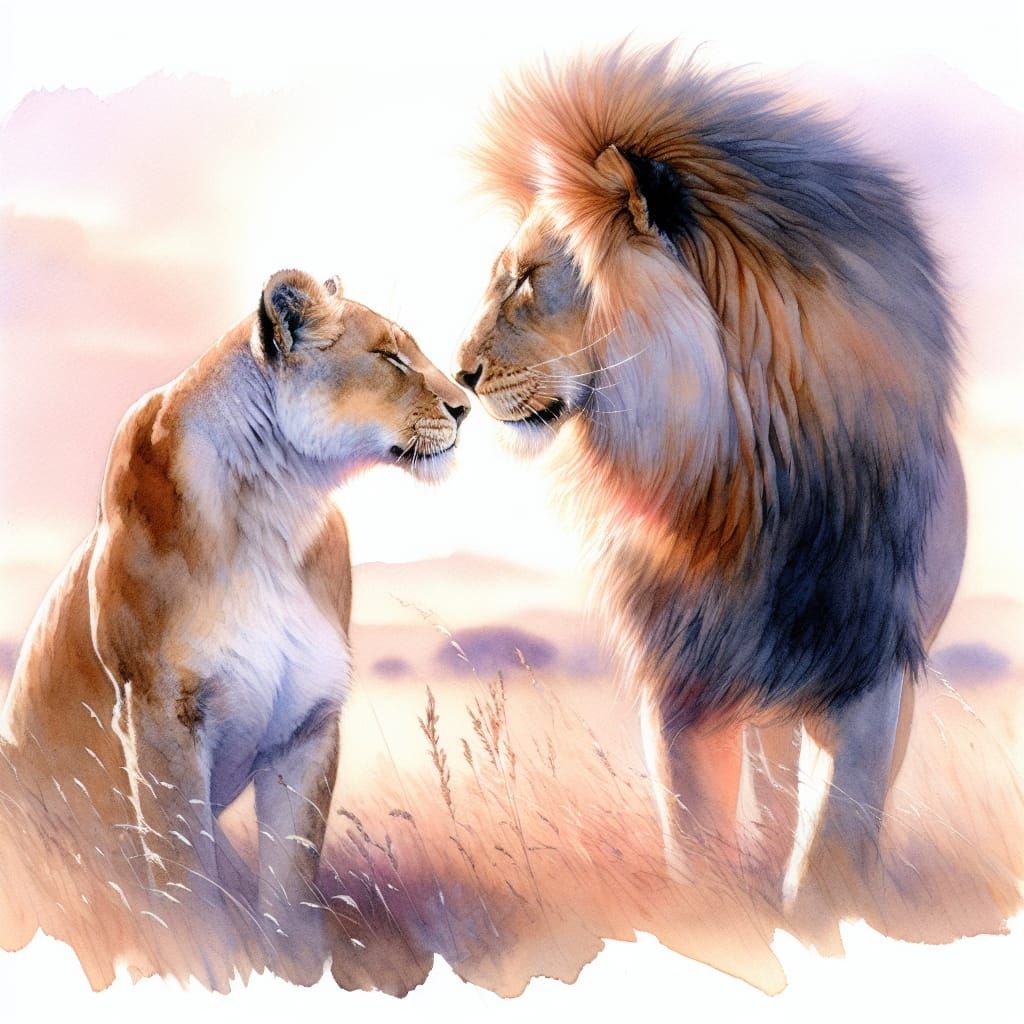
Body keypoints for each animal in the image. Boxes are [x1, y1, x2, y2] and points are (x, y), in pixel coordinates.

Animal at [1, 269, 468, 982]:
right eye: (390, 357)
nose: (466, 406)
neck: (278, 502)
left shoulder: (307, 723)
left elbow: (291, 879)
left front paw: (298, 969)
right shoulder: (158, 709)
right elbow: (182, 871)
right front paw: (200, 964)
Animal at [454, 45, 967, 918]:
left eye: (525, 280)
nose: (459, 373)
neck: (741, 479)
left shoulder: (867, 670)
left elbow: (831, 849)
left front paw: (824, 912)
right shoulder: (683, 677)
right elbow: (695, 841)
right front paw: (721, 919)